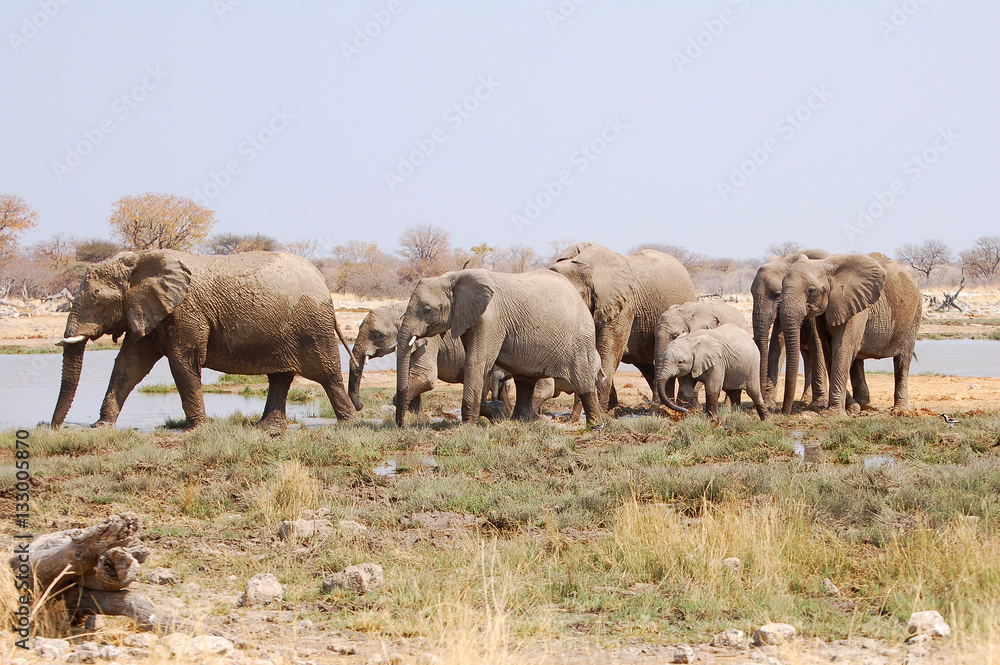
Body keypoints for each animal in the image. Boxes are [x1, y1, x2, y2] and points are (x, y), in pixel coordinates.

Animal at [50, 250, 356, 430]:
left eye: (97, 298)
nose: (55, 428)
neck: (140, 259)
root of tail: (324, 285)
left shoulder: (185, 312)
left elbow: (182, 363)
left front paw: (195, 429)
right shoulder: (146, 310)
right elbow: (129, 365)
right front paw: (100, 426)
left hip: (312, 326)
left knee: (327, 374)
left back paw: (347, 423)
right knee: (280, 377)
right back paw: (265, 428)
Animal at [347, 302, 515, 419]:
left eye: (377, 335)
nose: (361, 405)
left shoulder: (428, 341)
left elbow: (425, 377)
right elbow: (413, 376)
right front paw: (418, 417)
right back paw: (505, 413)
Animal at [394, 269, 603, 426]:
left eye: (427, 310)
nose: (401, 425)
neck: (453, 277)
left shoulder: (490, 319)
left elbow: (476, 362)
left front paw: (468, 426)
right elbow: (481, 365)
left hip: (580, 338)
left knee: (582, 381)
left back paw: (596, 426)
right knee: (524, 380)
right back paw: (520, 420)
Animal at [751, 249, 832, 410]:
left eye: (778, 294)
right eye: (751, 293)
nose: (762, 400)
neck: (787, 262)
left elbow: (816, 340)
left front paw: (818, 403)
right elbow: (778, 340)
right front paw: (769, 403)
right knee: (807, 355)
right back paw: (805, 400)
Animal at [779, 252, 922, 415]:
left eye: (812, 290)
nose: (785, 412)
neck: (826, 265)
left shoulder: (854, 305)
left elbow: (843, 348)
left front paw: (834, 414)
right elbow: (829, 351)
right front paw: (852, 408)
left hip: (914, 315)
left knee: (903, 359)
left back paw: (899, 410)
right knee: (857, 361)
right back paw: (863, 405)